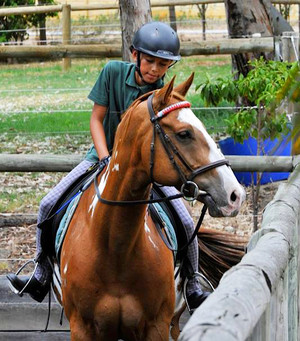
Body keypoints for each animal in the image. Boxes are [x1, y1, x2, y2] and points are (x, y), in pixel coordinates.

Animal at [57, 73, 245, 338]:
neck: (115, 248)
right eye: (184, 133)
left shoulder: (157, 326)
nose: (235, 195)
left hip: (174, 320)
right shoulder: (82, 328)